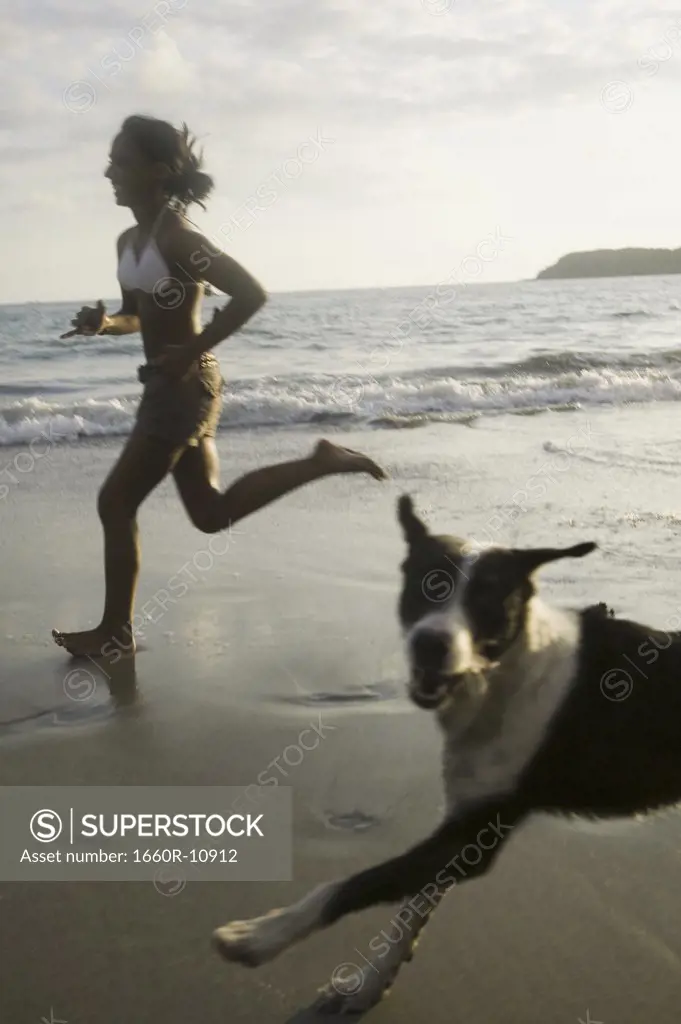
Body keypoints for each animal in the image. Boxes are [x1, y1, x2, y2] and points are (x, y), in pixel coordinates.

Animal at [213, 495, 679, 1015]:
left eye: (487, 600)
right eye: (426, 584)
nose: (430, 644)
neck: (504, 674)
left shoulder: (474, 834)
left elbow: (357, 883)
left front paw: (261, 935)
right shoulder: (460, 822)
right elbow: (412, 909)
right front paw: (371, 983)